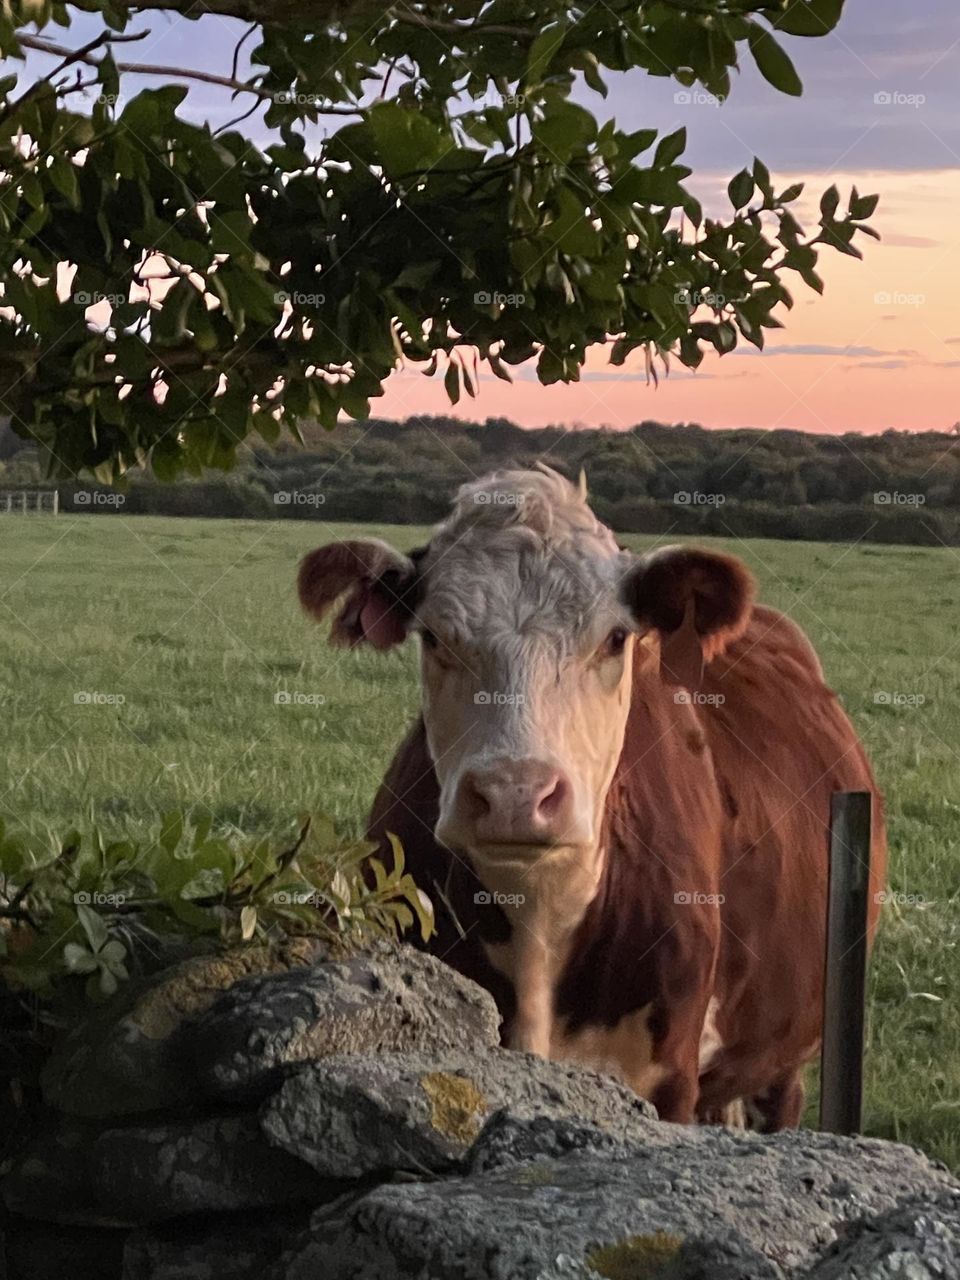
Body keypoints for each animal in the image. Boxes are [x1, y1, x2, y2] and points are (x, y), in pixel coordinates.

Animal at [297, 466, 886, 1129]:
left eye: (614, 639)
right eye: (435, 639)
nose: (515, 793)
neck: (538, 917)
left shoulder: (669, 1078)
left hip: (786, 1046)